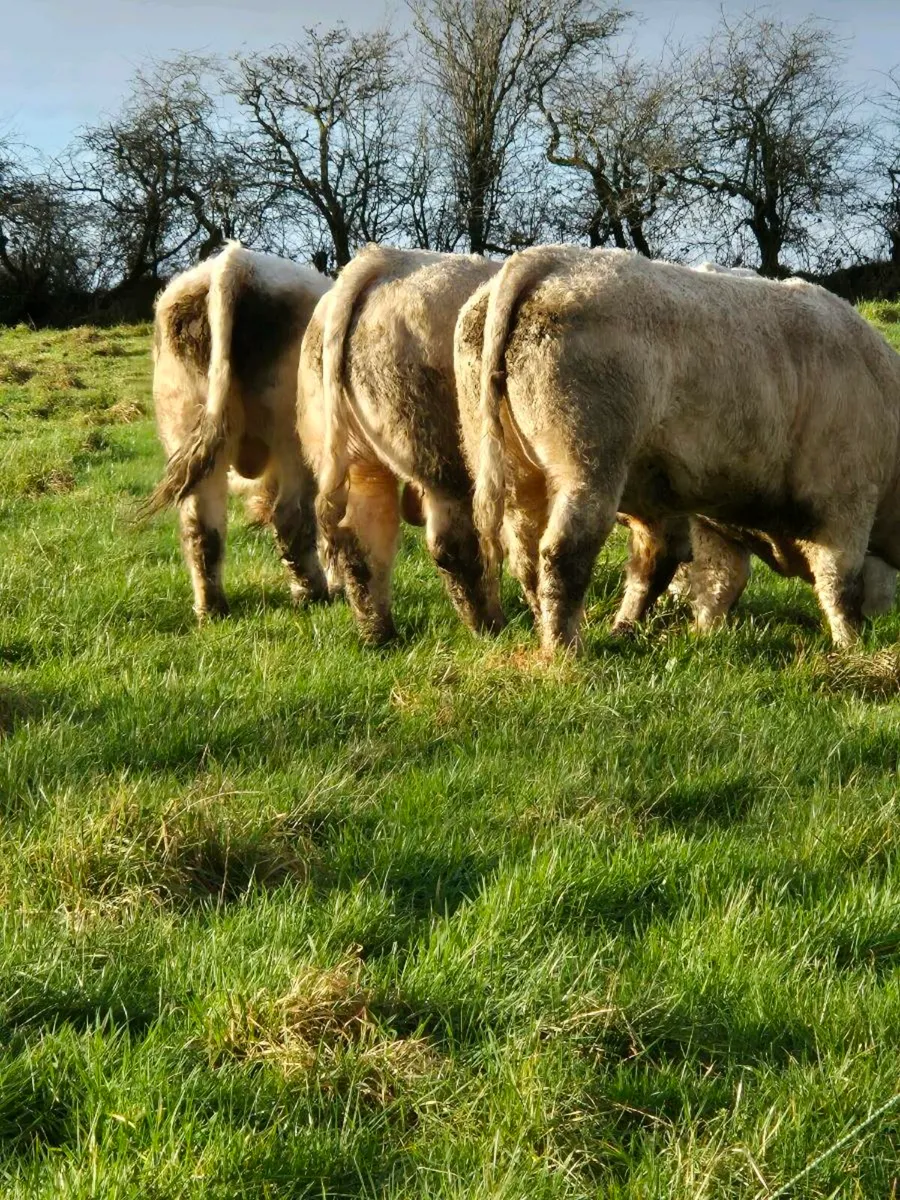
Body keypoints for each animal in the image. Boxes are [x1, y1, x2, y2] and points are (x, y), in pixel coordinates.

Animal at [143, 243, 331, 620]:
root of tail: (235, 264)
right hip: (294, 433)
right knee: (291, 516)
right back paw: (314, 593)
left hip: (183, 417)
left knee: (200, 523)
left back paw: (211, 609)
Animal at [299, 244, 504, 644]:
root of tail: (382, 261)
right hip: (442, 456)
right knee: (452, 543)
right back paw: (488, 624)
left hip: (359, 456)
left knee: (363, 539)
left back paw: (379, 635)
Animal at [455, 245, 900, 654]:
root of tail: (545, 258)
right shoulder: (845, 502)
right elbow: (840, 586)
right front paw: (853, 651)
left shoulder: (715, 518)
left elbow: (720, 580)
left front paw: (704, 635)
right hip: (588, 462)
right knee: (563, 553)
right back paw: (565, 652)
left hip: (513, 469)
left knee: (531, 556)